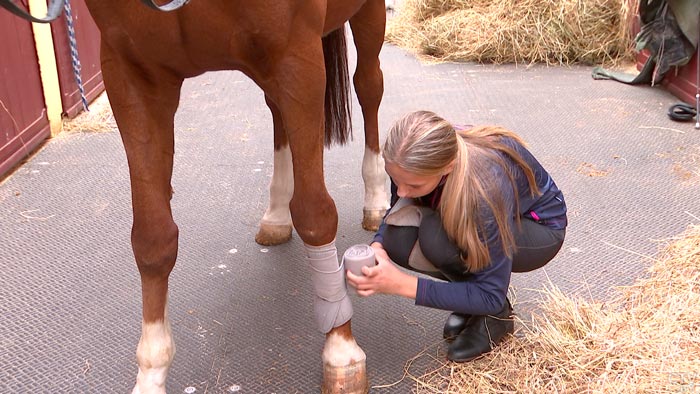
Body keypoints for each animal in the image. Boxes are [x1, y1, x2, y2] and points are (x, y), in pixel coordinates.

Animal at [78, 0, 388, 394]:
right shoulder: (131, 74)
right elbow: (152, 239)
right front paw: (151, 374)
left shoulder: (297, 58)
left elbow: (315, 214)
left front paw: (340, 347)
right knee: (277, 107)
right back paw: (276, 215)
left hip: (366, 15)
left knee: (369, 86)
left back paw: (376, 198)